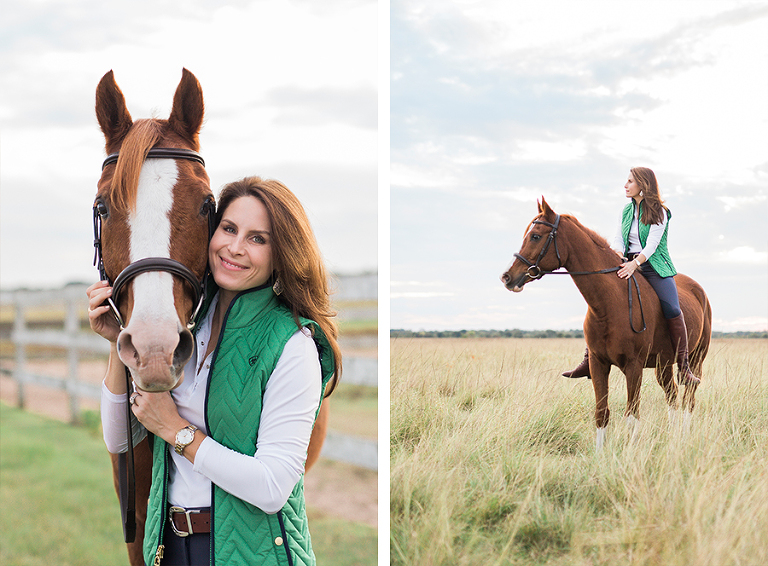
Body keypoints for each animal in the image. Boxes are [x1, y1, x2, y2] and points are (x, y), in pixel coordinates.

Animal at [500, 198, 711, 450]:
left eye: (535, 236)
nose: (507, 277)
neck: (610, 303)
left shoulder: (633, 367)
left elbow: (632, 414)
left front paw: (629, 452)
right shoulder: (598, 364)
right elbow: (601, 412)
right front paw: (600, 455)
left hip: (695, 359)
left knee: (689, 396)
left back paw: (684, 437)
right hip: (663, 365)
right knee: (672, 395)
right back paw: (672, 436)